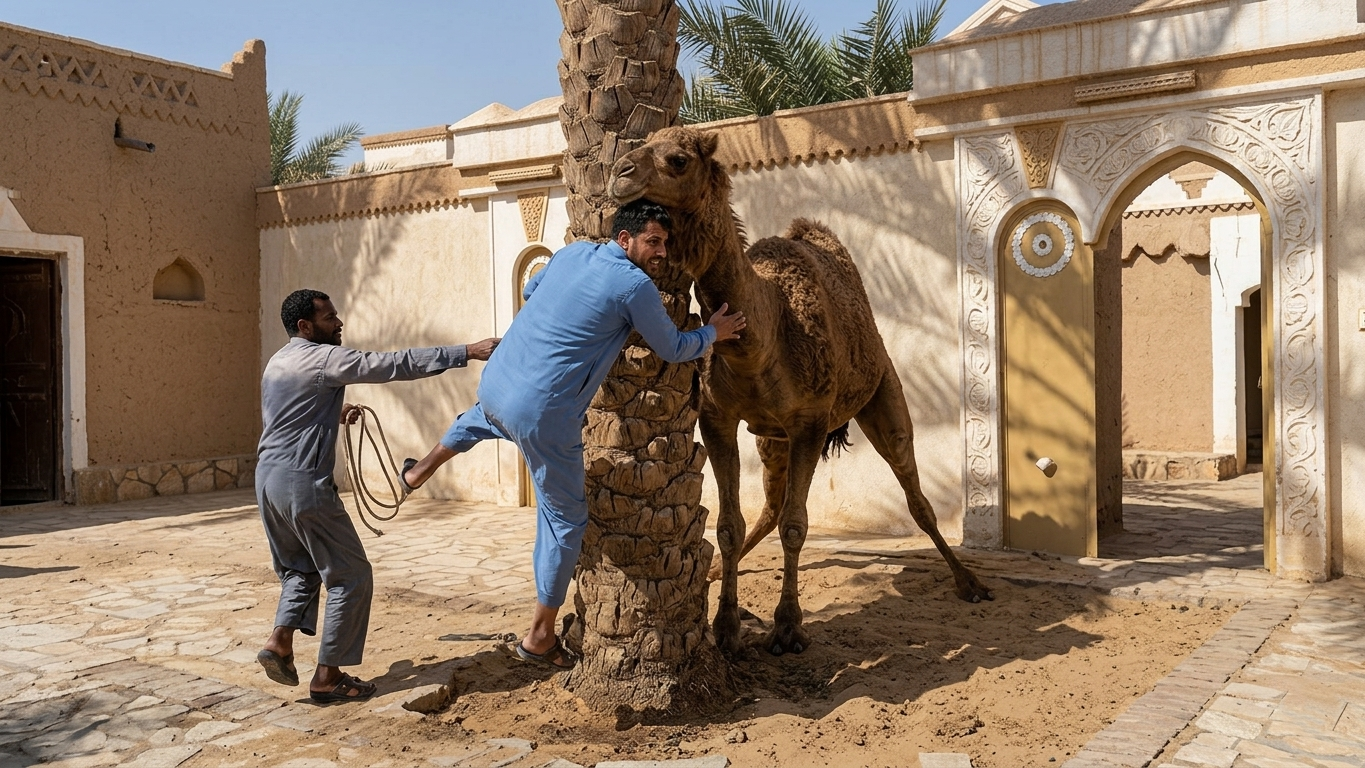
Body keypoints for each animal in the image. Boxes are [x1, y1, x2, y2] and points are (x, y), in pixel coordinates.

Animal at [608, 126, 994, 657]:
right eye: (644, 142)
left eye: (679, 158)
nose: (619, 173)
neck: (764, 331)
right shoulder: (719, 419)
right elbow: (729, 526)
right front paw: (725, 627)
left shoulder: (810, 421)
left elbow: (797, 526)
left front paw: (788, 628)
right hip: (771, 438)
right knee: (768, 508)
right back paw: (710, 573)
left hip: (882, 395)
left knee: (915, 494)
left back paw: (970, 583)